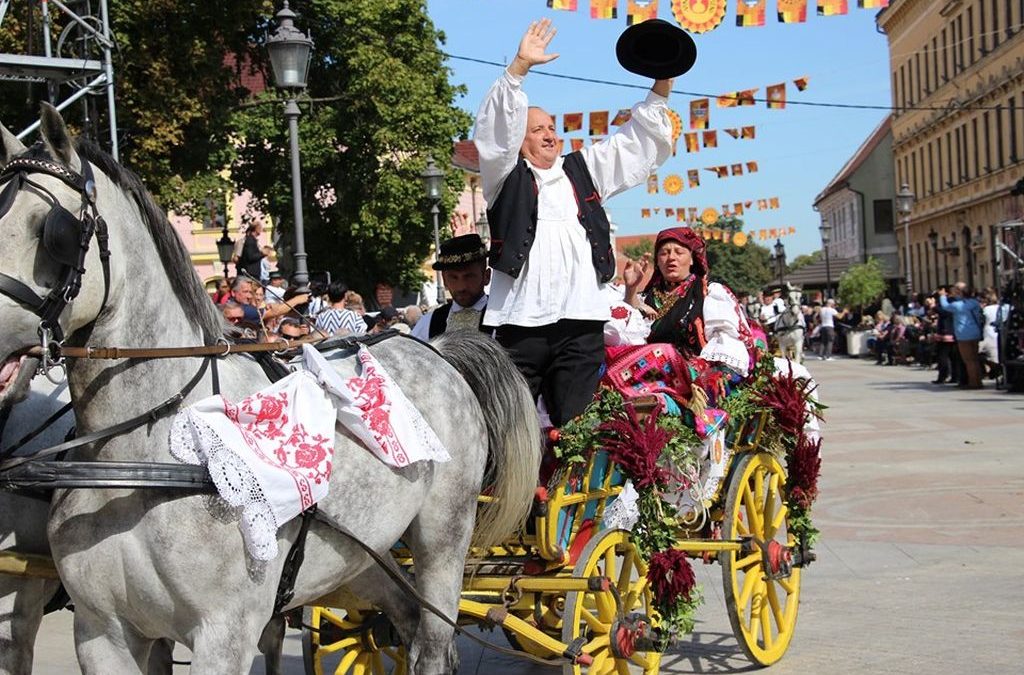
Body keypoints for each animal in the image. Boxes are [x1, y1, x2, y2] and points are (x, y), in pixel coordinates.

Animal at [0, 107, 544, 675]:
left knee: (432, 642)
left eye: (52, 231)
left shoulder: (224, 635)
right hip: (360, 555)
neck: (139, 459)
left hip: (444, 538)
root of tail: (437, 348)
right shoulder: (102, 632)